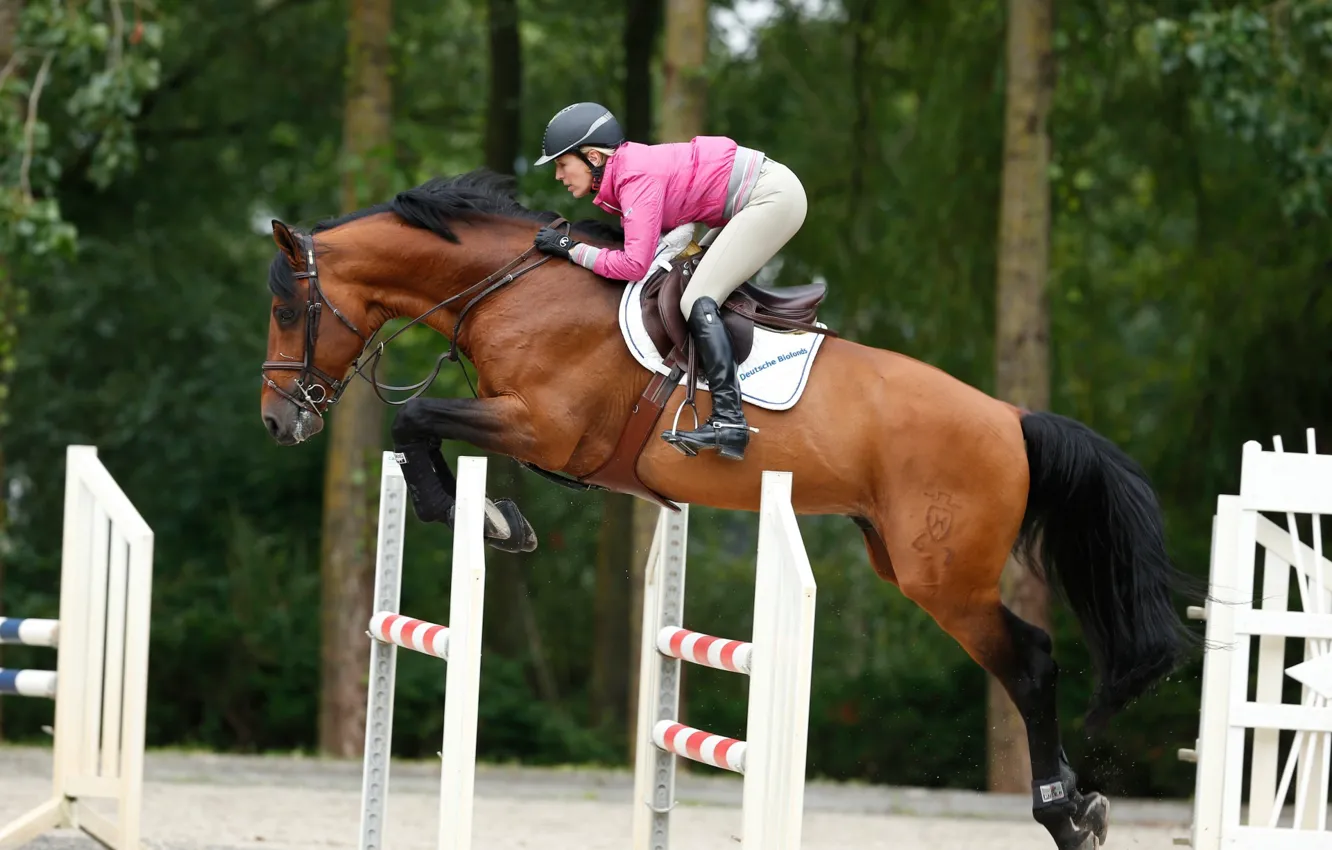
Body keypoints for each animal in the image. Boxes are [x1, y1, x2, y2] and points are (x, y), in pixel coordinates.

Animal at [259, 169, 1191, 850]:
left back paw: (1067, 813)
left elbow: (415, 418)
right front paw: (489, 518)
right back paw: (1073, 808)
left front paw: (483, 518)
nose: (279, 420)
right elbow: (419, 431)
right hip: (902, 559)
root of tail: (1012, 418)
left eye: (286, 307)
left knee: (1030, 663)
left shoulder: (542, 427)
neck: (510, 286)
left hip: (945, 579)